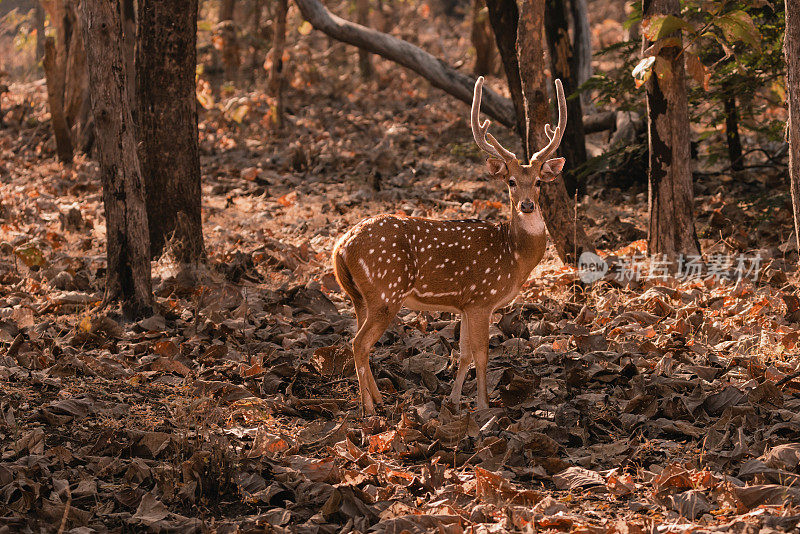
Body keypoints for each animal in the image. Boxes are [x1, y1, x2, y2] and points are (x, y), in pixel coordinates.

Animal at [332, 77, 568, 416]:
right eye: (510, 181)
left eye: (538, 181)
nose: (526, 205)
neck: (513, 255)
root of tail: (341, 246)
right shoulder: (483, 298)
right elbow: (482, 353)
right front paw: (484, 405)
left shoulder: (465, 304)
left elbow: (464, 352)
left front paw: (454, 401)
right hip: (386, 291)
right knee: (359, 343)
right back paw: (370, 410)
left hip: (358, 296)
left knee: (356, 339)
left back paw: (378, 399)